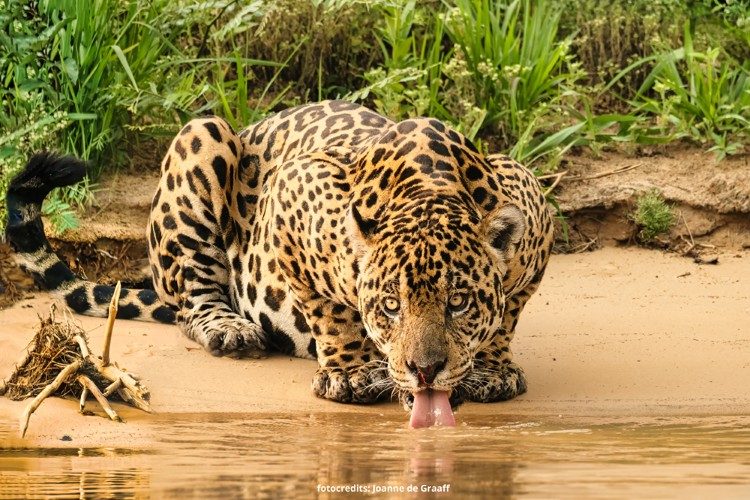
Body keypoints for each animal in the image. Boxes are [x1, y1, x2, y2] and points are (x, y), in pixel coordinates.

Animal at [5, 100, 554, 410]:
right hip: (202, 137)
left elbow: (506, 314)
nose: (425, 372)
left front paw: (489, 370)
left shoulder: (532, 202)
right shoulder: (294, 188)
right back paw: (231, 329)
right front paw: (352, 373)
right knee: (192, 299)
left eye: (458, 303)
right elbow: (330, 310)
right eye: (390, 307)